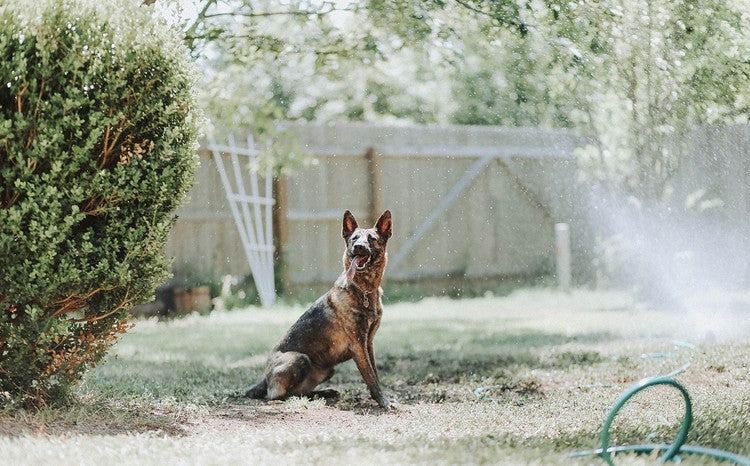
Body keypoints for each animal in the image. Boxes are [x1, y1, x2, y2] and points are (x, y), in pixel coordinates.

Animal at [248, 210, 400, 408]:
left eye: (371, 239)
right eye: (354, 238)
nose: (358, 247)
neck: (363, 290)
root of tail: (265, 379)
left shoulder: (368, 343)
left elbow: (375, 373)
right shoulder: (358, 345)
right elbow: (371, 378)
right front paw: (383, 402)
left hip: (328, 370)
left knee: (300, 392)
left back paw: (324, 393)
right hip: (298, 358)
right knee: (278, 395)